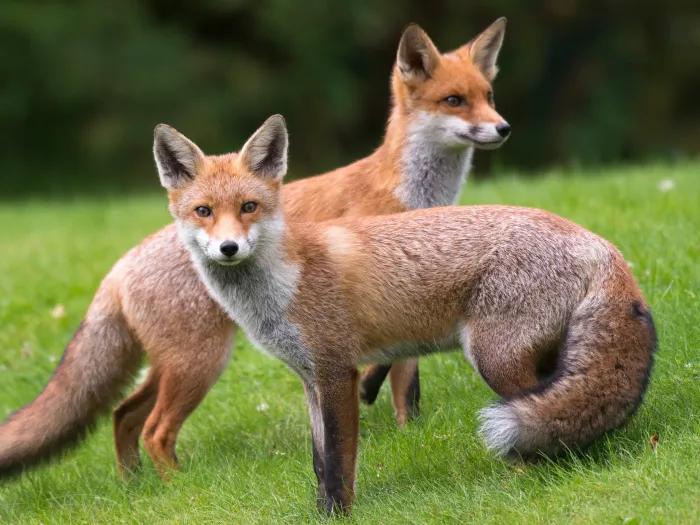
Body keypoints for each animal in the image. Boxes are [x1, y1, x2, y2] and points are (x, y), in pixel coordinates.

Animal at [0, 20, 511, 477]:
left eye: (488, 96)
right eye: (454, 100)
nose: (503, 128)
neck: (410, 194)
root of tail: (121, 264)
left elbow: (407, 382)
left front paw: (408, 430)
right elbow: (394, 373)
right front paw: (379, 403)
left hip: (173, 365)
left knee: (122, 414)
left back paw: (135, 488)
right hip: (199, 362)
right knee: (154, 429)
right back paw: (180, 489)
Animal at [154, 116, 656, 514]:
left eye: (248, 207)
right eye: (203, 211)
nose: (229, 248)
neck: (285, 280)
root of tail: (598, 243)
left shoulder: (337, 371)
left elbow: (338, 461)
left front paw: (337, 514)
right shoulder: (309, 377)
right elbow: (318, 460)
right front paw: (319, 510)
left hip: (496, 360)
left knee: (539, 421)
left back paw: (525, 479)